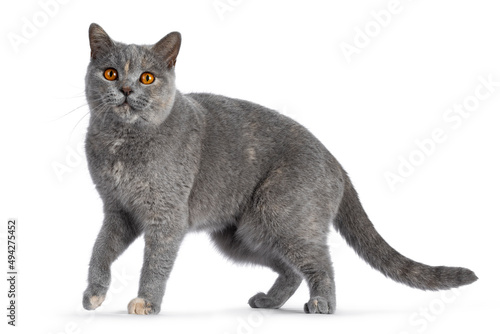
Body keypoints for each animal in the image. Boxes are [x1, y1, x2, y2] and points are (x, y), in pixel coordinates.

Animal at [82, 23, 476, 316]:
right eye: (110, 73)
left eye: (148, 78)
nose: (127, 89)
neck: (121, 144)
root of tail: (337, 162)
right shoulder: (117, 211)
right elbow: (100, 248)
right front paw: (93, 293)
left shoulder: (166, 215)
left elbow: (156, 261)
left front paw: (146, 302)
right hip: (242, 236)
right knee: (290, 268)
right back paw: (269, 301)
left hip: (280, 214)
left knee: (319, 260)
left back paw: (322, 303)